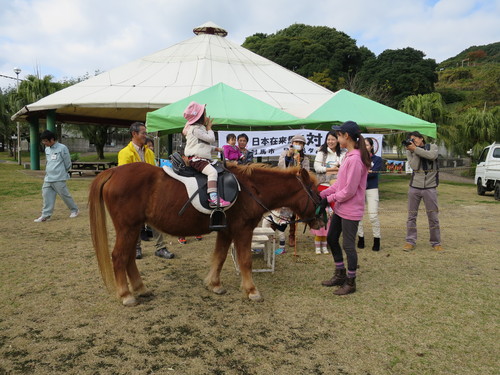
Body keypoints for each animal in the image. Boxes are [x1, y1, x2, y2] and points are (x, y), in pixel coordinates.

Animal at [88, 163, 322, 306]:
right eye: (315, 192)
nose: (322, 219)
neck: (251, 189)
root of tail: (112, 172)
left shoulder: (226, 231)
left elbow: (219, 257)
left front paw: (214, 284)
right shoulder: (243, 230)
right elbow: (245, 261)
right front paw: (251, 290)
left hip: (133, 228)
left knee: (128, 258)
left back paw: (140, 288)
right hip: (127, 228)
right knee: (119, 257)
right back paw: (126, 295)